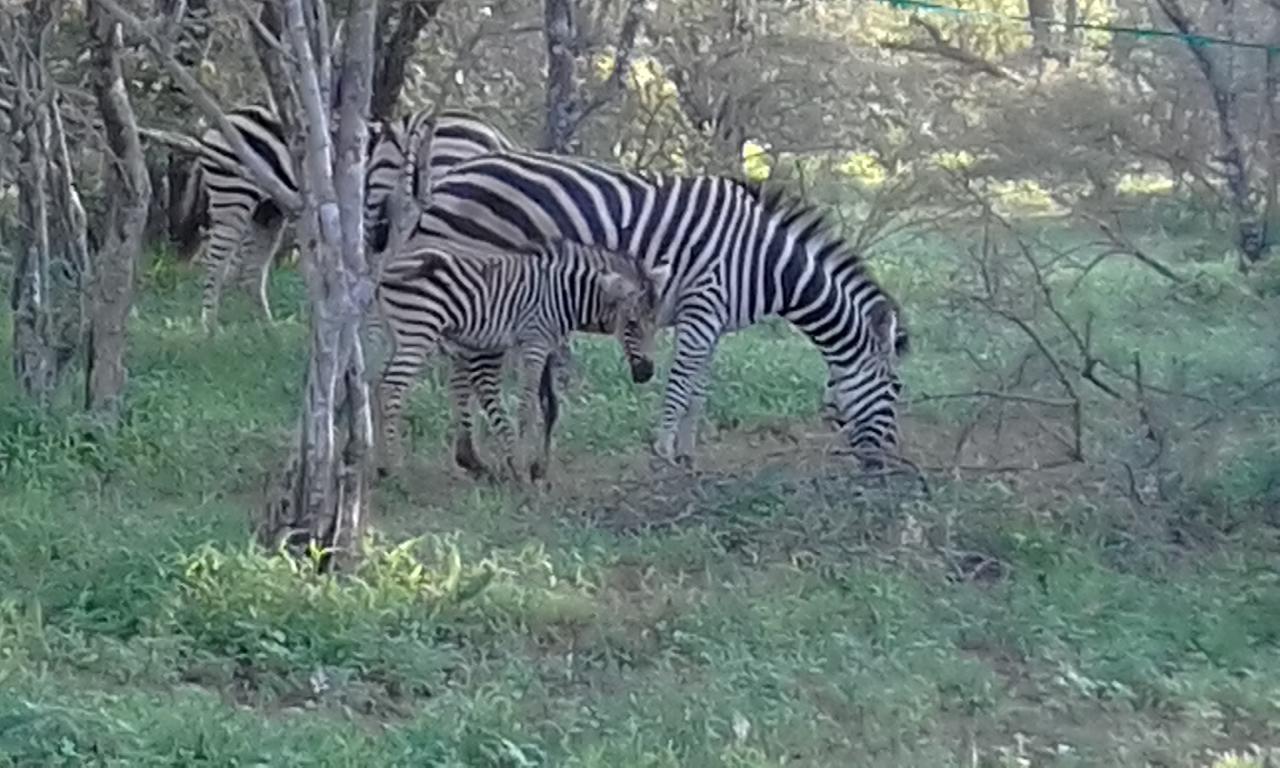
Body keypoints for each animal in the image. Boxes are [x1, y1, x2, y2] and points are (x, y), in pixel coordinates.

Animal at [172, 104, 517, 330]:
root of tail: (227, 116)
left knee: (249, 270)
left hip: (268, 210)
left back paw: (264, 329)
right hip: (234, 195)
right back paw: (209, 326)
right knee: (218, 260)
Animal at [373, 236, 670, 483]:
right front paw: (524, 470)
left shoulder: (541, 345)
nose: (646, 373)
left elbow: (543, 403)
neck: (564, 295)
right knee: (391, 388)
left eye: (655, 324)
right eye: (631, 324)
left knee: (379, 385)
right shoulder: (534, 342)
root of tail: (389, 265)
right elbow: (527, 406)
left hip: (399, 335)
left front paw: (528, 466)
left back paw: (381, 465)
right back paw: (396, 469)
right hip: (419, 330)